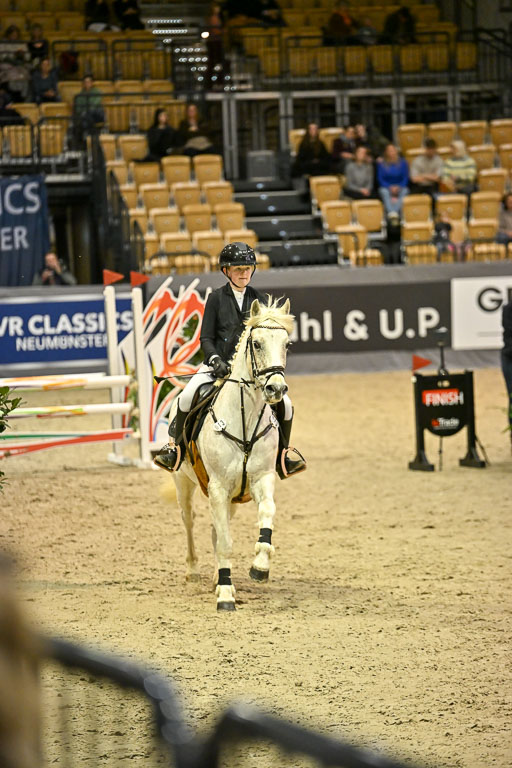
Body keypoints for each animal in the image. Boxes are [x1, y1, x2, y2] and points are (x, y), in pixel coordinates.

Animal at [166, 297, 294, 611]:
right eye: (256, 343)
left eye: (287, 344)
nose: (276, 388)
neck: (244, 420)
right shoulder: (218, 487)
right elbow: (225, 542)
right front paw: (225, 595)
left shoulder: (261, 479)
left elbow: (266, 516)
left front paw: (259, 567)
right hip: (184, 483)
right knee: (189, 520)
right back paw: (193, 571)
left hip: (230, 497)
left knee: (216, 527)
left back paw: (216, 575)